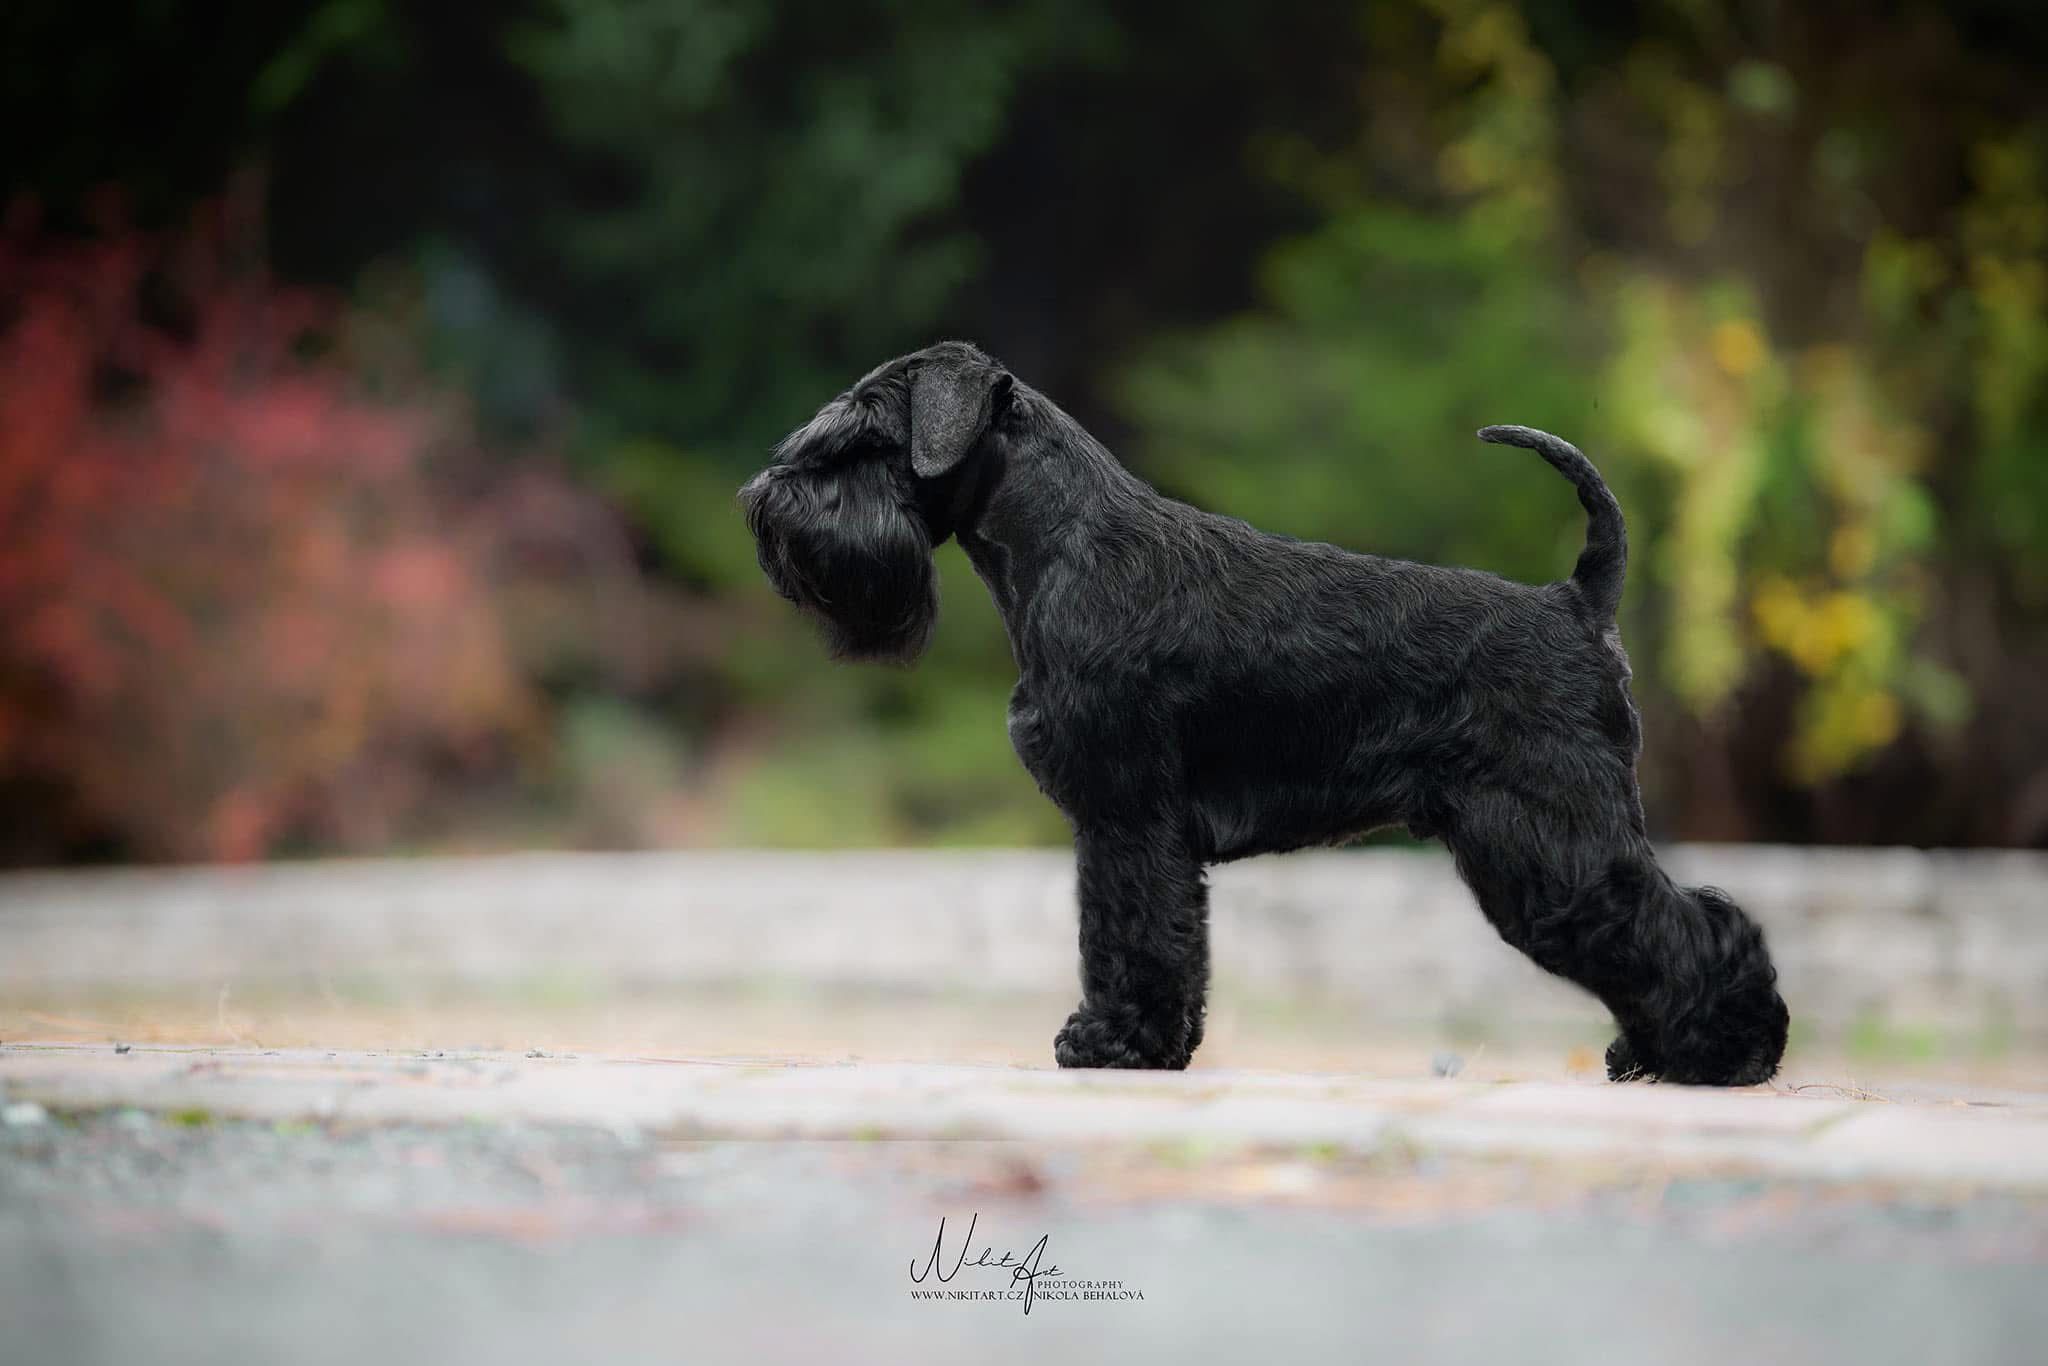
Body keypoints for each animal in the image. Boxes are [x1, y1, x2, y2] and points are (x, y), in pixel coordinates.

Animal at [740, 340, 1789, 1085]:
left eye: (865, 437)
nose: (763, 501)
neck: (1065, 547)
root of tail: (1576, 601)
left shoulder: (1129, 814)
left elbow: (1132, 933)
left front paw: (1115, 1042)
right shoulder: (1125, 822)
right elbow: (1143, 935)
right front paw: (1147, 1043)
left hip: (1553, 836)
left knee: (1688, 923)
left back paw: (1725, 1055)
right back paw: (1662, 1053)